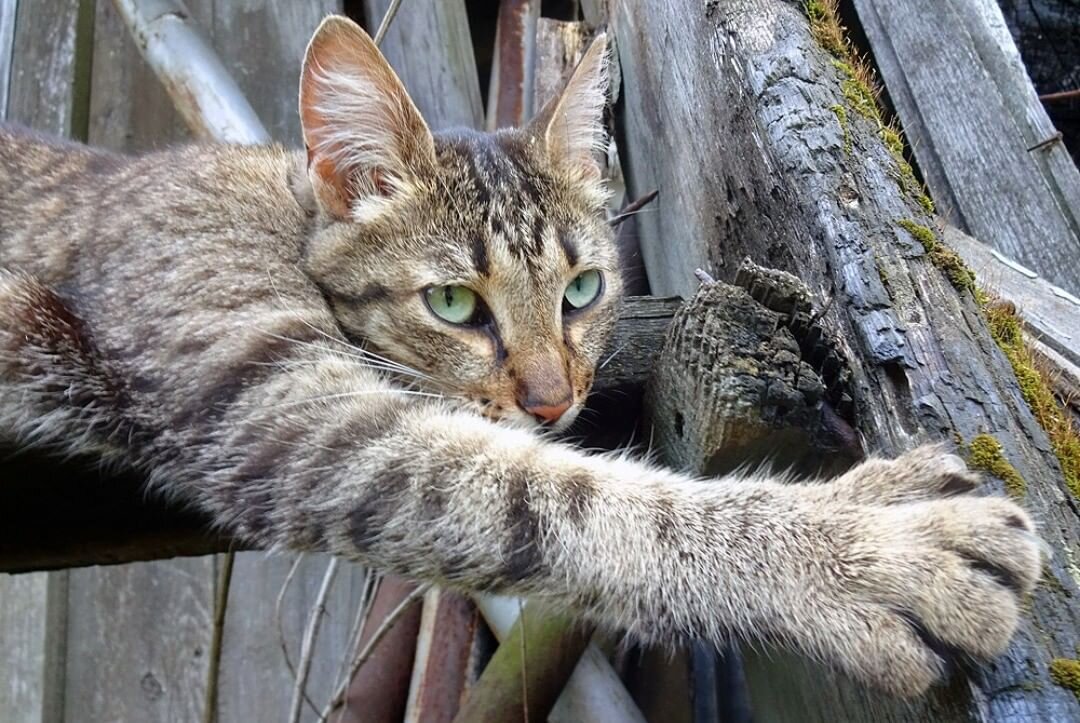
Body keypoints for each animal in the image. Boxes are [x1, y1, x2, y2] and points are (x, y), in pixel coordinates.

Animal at [0, 15, 1041, 691]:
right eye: (455, 303)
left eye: (582, 290)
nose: (551, 401)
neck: (283, 212)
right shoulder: (278, 397)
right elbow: (590, 505)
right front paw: (867, 551)